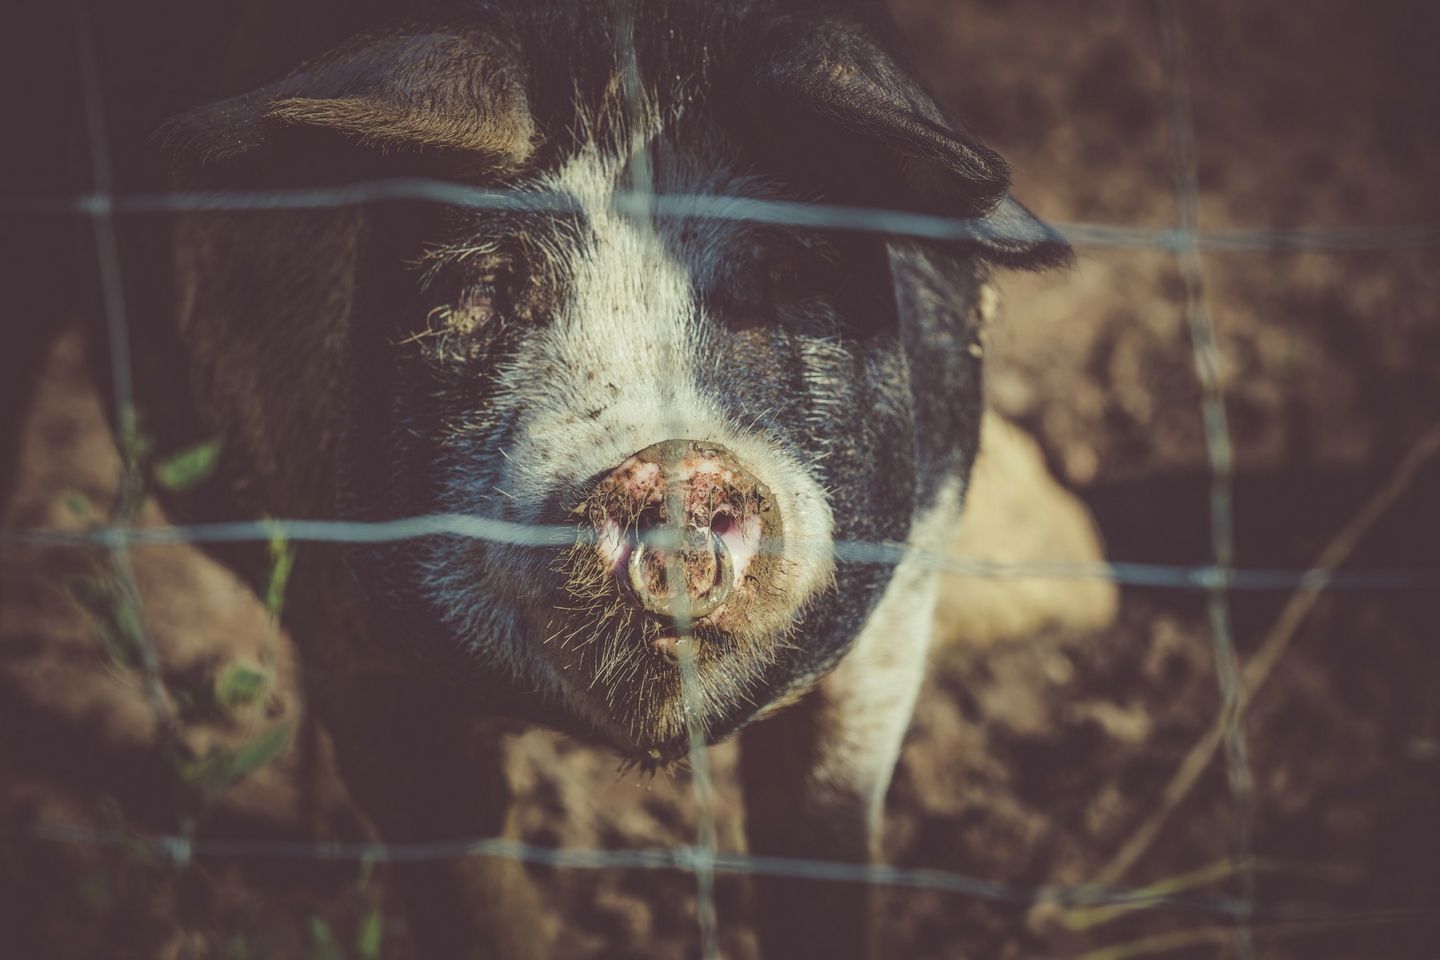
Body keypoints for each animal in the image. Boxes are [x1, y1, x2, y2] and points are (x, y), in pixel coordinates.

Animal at [16, 1, 1071, 960]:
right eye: (486, 287)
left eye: (778, 272)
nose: (670, 460)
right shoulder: (355, 644)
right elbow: (475, 898)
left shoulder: (896, 619)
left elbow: (821, 865)